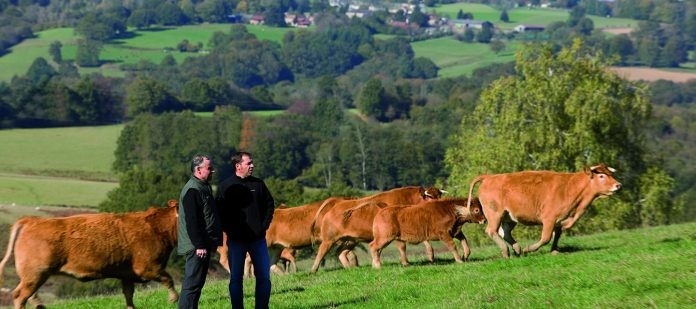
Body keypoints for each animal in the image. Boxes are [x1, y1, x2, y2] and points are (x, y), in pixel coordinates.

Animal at [0, 200, 182, 308]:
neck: (157, 229)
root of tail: (33, 220)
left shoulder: (127, 274)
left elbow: (129, 294)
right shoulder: (149, 267)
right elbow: (169, 280)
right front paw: (173, 299)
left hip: (35, 275)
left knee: (30, 295)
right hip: (35, 274)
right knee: (20, 295)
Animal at [310, 185, 446, 272]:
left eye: (439, 195)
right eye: (430, 197)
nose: (439, 204)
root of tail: (336, 202)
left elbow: (425, 241)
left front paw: (431, 257)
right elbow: (402, 246)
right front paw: (406, 263)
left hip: (351, 239)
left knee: (341, 252)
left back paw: (351, 268)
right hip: (329, 239)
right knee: (321, 252)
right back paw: (313, 270)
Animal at [464, 164, 624, 258]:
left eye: (610, 174)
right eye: (601, 176)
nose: (618, 185)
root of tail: (490, 177)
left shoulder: (560, 220)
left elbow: (557, 235)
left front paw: (554, 251)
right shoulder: (549, 218)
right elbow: (546, 238)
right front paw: (529, 249)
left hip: (508, 217)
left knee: (505, 233)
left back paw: (517, 249)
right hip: (495, 213)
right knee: (491, 231)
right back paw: (507, 251)